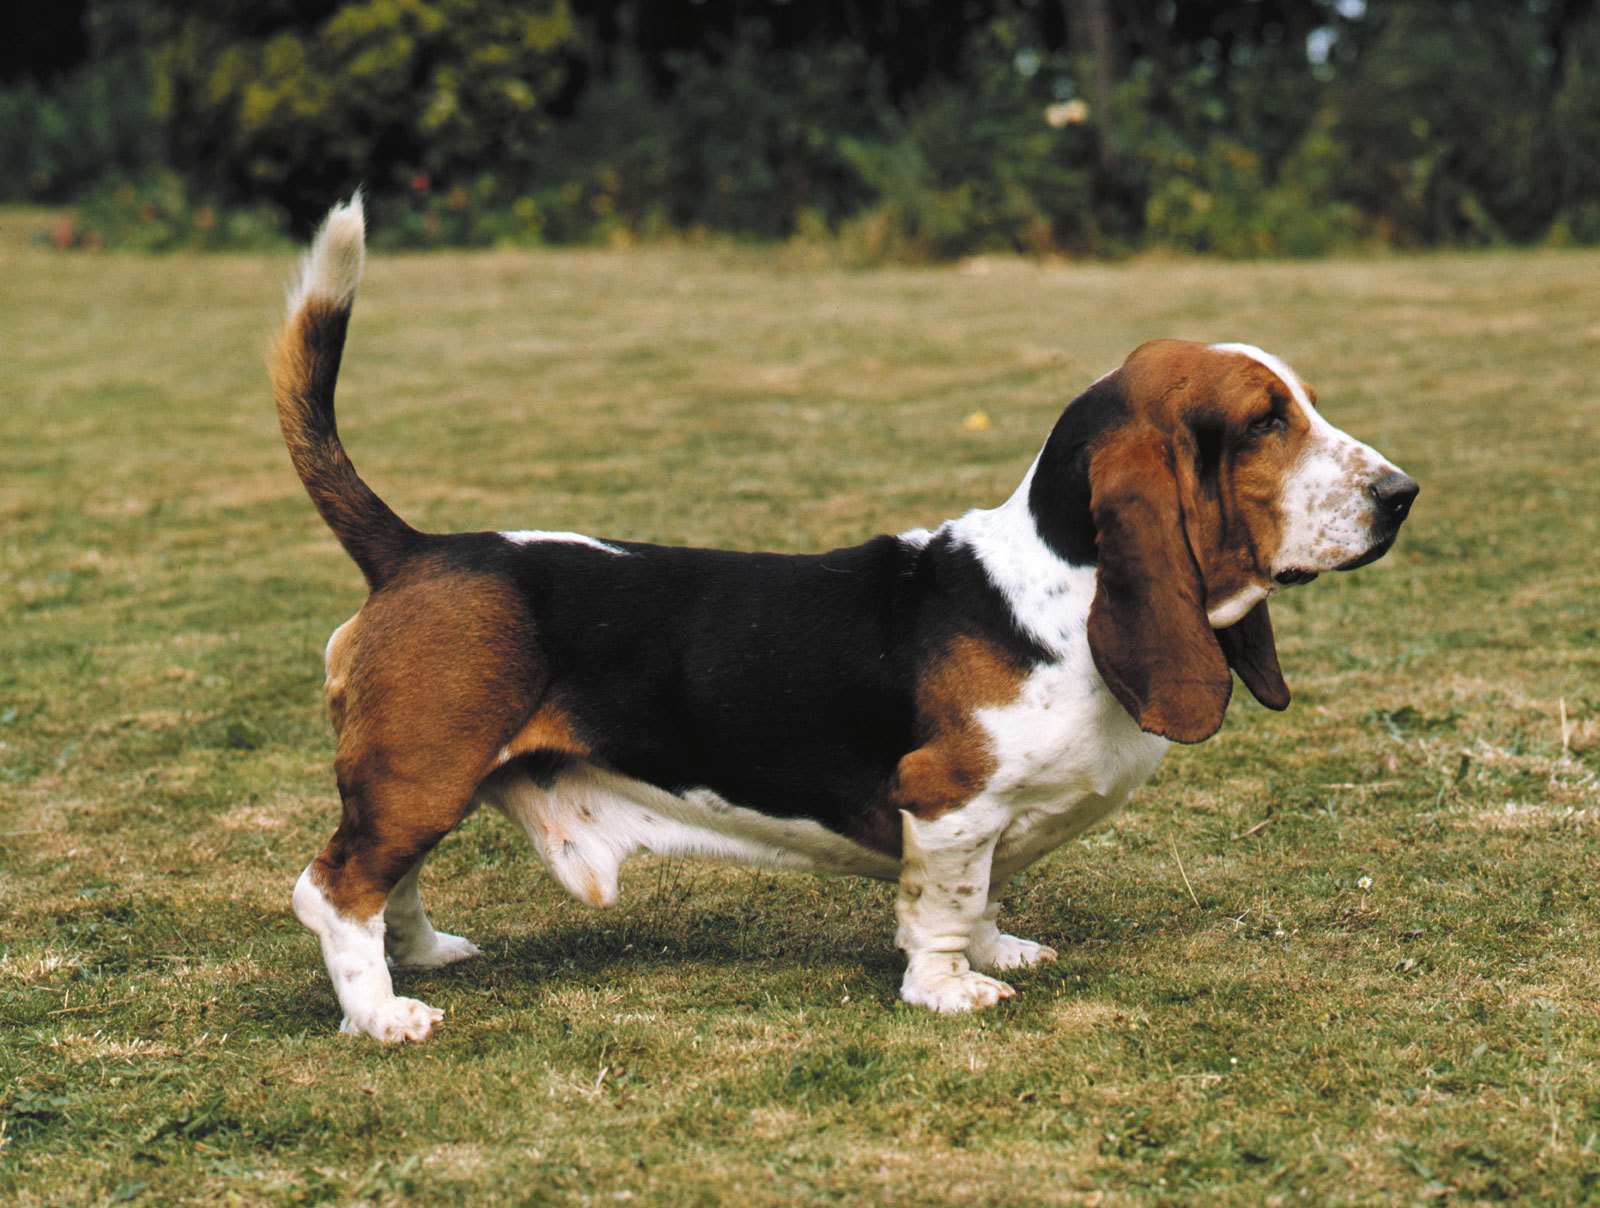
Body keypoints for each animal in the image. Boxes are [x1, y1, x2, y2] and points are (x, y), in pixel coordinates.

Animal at [274, 197, 1417, 1041]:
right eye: (1264, 422)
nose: (1403, 494)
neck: (1059, 589)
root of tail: (416, 547)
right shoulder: (948, 805)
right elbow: (945, 906)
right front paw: (953, 986)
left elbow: (983, 896)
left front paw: (1000, 948)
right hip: (423, 771)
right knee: (333, 887)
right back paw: (383, 1013)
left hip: (428, 780)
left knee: (388, 880)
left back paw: (423, 957)